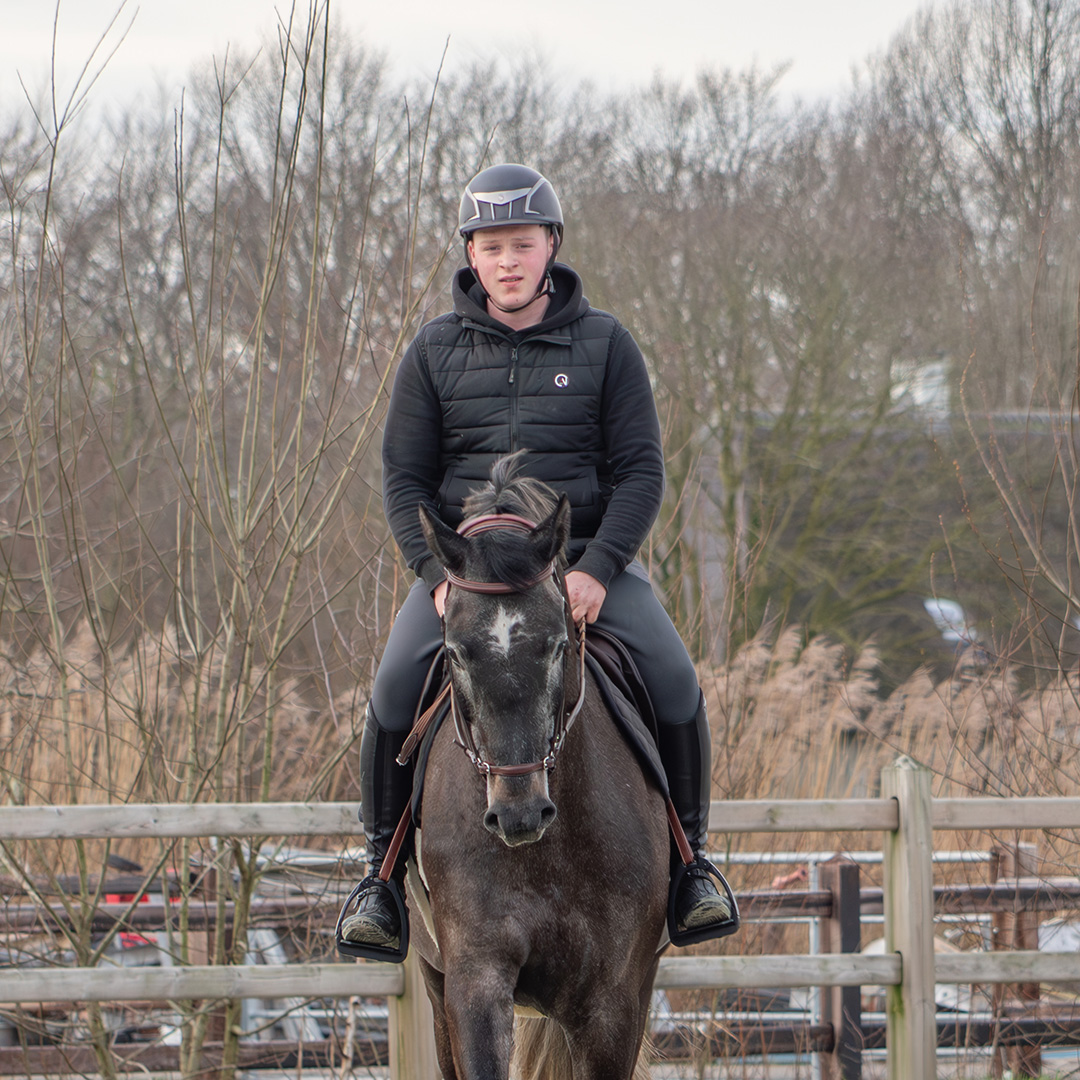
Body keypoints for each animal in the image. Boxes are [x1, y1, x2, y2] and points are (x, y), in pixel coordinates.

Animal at [406, 460, 669, 1080]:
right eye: (455, 653)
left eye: (556, 646)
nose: (518, 815)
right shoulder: (474, 983)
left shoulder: (612, 1004)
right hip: (434, 984)